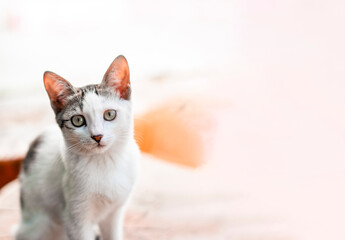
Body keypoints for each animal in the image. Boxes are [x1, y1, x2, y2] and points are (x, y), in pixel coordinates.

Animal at [14, 55, 138, 239]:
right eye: (77, 120)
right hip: (40, 224)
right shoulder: (75, 217)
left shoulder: (114, 213)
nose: (97, 136)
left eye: (109, 114)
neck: (104, 162)